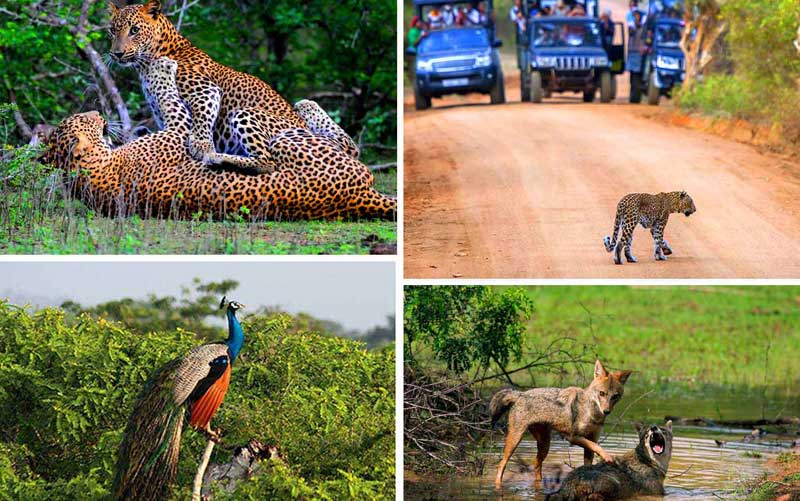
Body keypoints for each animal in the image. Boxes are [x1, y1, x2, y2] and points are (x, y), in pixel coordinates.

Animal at [40, 57, 396, 221]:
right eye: (87, 119)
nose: (98, 113)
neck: (89, 172)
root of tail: (357, 196)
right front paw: (162, 67)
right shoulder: (178, 129)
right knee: (275, 159)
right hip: (280, 134)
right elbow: (167, 97)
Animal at [105, 0, 344, 173]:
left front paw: (201, 146)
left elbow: (201, 119)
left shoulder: (204, 91)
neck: (146, 62)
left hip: (246, 114)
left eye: (134, 30)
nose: (116, 53)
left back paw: (219, 159)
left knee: (267, 162)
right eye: (112, 31)